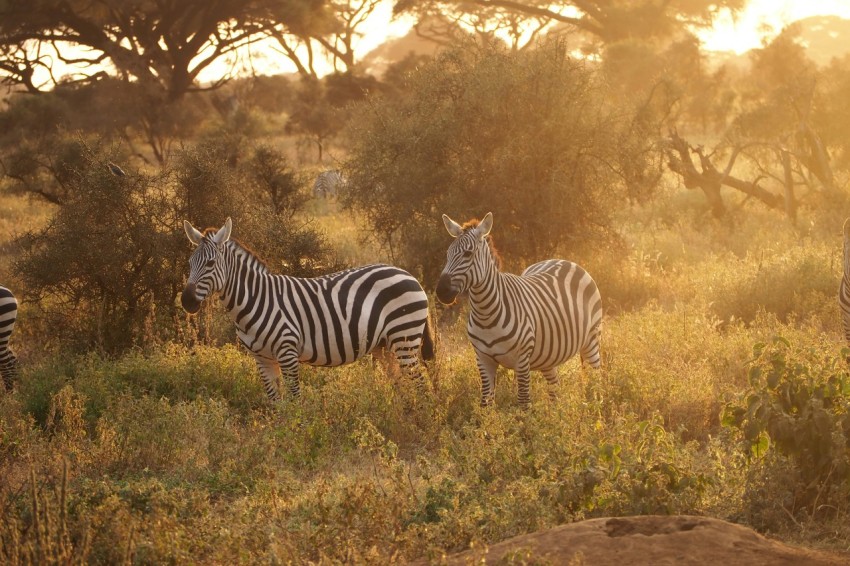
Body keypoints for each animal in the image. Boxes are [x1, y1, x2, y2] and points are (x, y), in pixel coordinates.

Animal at [181, 218, 434, 401]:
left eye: (210, 264)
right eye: (190, 263)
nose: (186, 301)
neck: (253, 301)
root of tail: (408, 274)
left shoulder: (287, 351)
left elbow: (294, 399)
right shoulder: (261, 358)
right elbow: (276, 402)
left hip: (404, 338)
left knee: (420, 385)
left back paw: (423, 424)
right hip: (384, 345)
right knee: (401, 384)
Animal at [436, 212, 602, 406]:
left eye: (468, 254)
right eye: (447, 254)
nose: (441, 291)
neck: (486, 314)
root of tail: (563, 260)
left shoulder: (522, 360)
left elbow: (523, 402)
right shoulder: (483, 359)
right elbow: (485, 403)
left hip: (591, 340)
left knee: (595, 381)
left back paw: (594, 409)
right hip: (548, 356)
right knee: (555, 387)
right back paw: (556, 412)